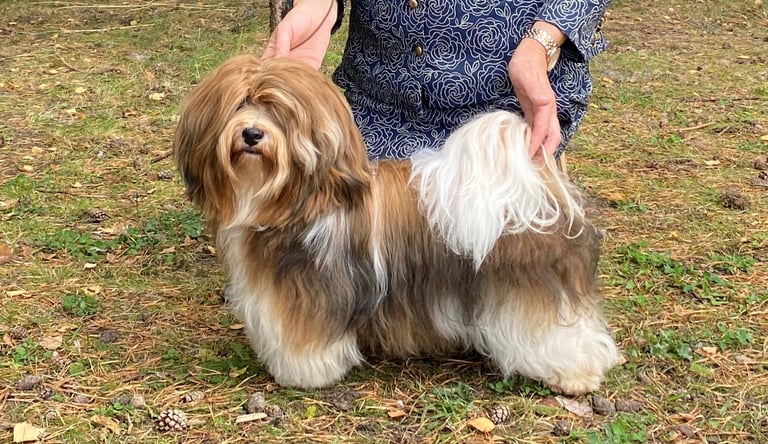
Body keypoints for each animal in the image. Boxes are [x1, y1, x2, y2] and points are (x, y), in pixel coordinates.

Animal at [174, 55, 619, 395]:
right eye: (240, 104)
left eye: (280, 113)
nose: (252, 133)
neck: (288, 201)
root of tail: (535, 187)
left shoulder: (312, 294)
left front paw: (304, 373)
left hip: (530, 290)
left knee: (559, 333)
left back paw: (576, 375)